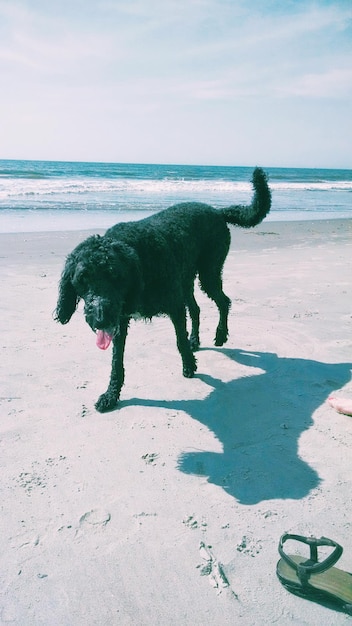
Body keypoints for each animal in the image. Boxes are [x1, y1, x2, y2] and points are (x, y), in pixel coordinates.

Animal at [55, 166, 270, 412]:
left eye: (115, 275)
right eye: (82, 279)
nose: (100, 320)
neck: (139, 257)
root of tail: (216, 211)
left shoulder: (173, 306)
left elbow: (179, 340)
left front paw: (189, 365)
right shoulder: (120, 320)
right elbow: (117, 361)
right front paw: (111, 394)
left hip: (209, 273)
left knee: (224, 301)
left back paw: (220, 334)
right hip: (186, 281)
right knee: (196, 309)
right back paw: (195, 340)